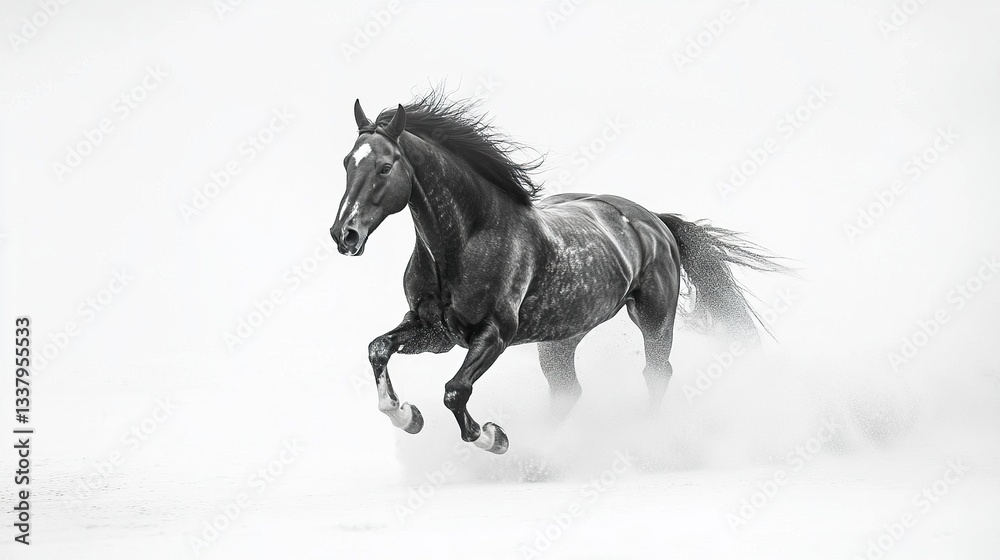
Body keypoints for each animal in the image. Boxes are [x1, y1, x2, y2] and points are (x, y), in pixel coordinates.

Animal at [330, 91, 791, 455]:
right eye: (347, 163)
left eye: (385, 167)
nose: (344, 233)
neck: (470, 237)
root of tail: (654, 221)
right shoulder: (434, 331)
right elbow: (377, 349)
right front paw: (406, 415)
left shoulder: (494, 334)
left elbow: (455, 391)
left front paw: (494, 437)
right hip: (561, 338)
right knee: (568, 392)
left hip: (655, 319)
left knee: (656, 374)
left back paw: (646, 440)